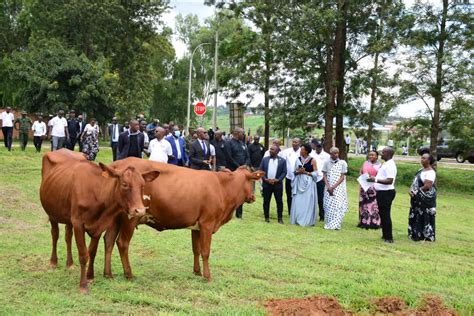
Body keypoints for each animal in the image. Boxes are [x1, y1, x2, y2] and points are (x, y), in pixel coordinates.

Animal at [39, 149, 160, 292]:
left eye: (142, 186)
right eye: (125, 184)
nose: (140, 211)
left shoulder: (99, 225)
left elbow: (92, 251)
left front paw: (90, 276)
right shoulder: (78, 223)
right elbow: (83, 254)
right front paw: (83, 285)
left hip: (67, 216)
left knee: (68, 236)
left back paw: (70, 264)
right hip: (52, 213)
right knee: (55, 234)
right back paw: (53, 262)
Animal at [103, 160, 262, 282]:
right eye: (252, 181)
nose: (253, 197)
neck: (223, 186)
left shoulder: (197, 226)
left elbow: (196, 250)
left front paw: (197, 271)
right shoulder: (207, 224)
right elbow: (205, 251)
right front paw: (207, 276)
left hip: (115, 218)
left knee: (109, 240)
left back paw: (108, 274)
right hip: (130, 218)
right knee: (122, 243)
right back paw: (129, 274)